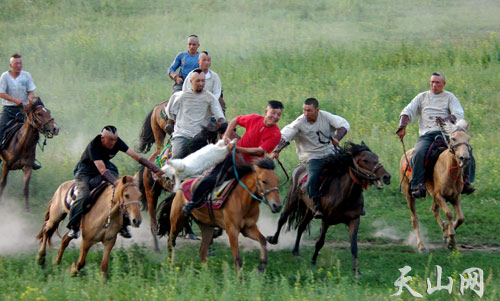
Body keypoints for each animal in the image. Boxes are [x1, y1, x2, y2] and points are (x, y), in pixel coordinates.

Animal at [268, 141, 392, 274]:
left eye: (376, 157)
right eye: (365, 160)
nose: (386, 177)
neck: (345, 195)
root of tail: (299, 167)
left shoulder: (354, 220)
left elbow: (354, 246)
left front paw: (356, 271)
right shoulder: (326, 220)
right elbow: (320, 242)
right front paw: (313, 263)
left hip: (309, 210)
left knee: (301, 226)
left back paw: (296, 251)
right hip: (293, 200)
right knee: (282, 218)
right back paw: (273, 240)